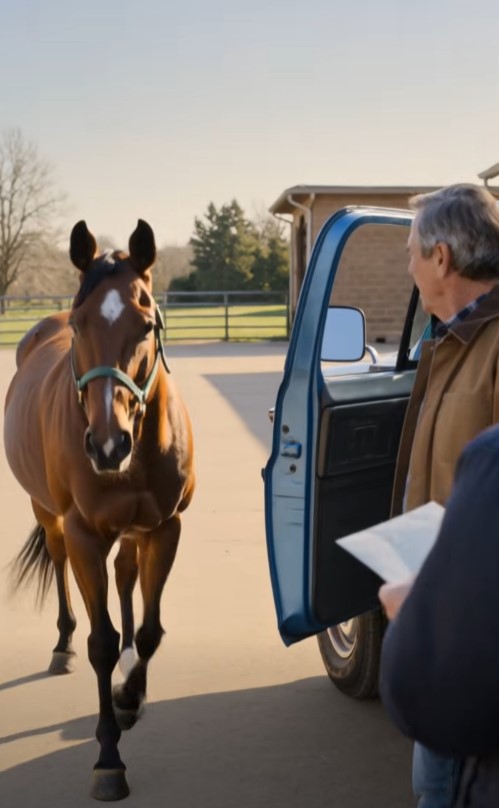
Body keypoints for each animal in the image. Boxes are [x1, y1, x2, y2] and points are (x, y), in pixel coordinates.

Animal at [3, 220, 195, 800]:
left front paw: (130, 696)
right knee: (61, 564)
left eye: (146, 321)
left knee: (127, 576)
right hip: (48, 515)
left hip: (132, 532)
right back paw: (62, 645)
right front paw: (108, 759)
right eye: (81, 323)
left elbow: (150, 631)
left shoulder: (165, 528)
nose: (109, 446)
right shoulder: (86, 534)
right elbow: (101, 644)